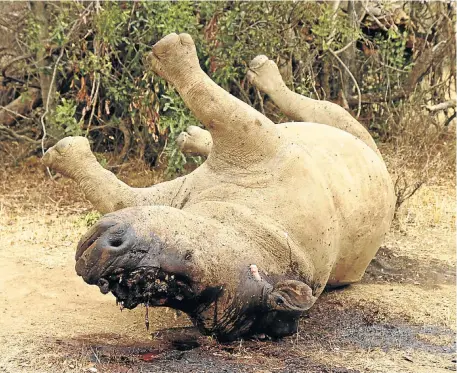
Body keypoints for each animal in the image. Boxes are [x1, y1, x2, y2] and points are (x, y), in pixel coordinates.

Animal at [43, 32, 396, 340]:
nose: (100, 261)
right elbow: (112, 193)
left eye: (187, 260)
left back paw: (258, 77)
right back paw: (195, 136)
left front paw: (171, 51)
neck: (262, 232)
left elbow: (212, 104)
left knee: (324, 111)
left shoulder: (251, 142)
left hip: (355, 142)